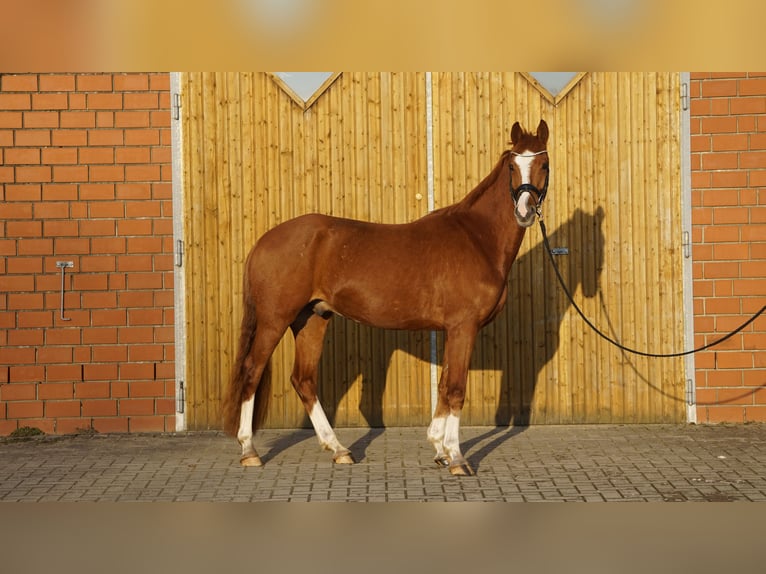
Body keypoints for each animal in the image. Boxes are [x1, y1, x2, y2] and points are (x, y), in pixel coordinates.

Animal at [223, 119, 550, 476]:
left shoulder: (452, 330)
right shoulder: (463, 327)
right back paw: (249, 450)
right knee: (252, 371)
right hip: (275, 319)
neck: (477, 237)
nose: (524, 211)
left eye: (544, 165)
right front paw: (457, 457)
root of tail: (264, 241)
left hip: (312, 319)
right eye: (512, 166)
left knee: (303, 380)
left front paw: (439, 448)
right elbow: (455, 388)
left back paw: (338, 449)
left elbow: (443, 386)